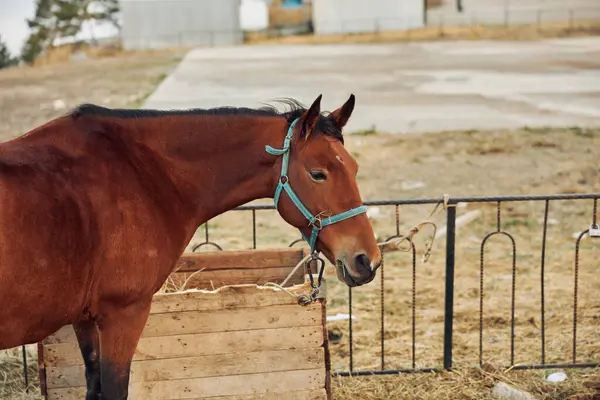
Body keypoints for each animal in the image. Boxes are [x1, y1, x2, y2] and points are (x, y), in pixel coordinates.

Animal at [0, 94, 382, 396]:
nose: (367, 260)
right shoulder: (122, 315)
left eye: (354, 168)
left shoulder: (85, 319)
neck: (141, 172)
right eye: (318, 173)